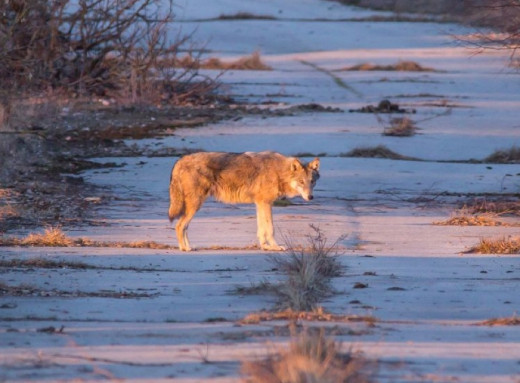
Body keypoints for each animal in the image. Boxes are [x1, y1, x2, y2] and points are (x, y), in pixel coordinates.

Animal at [169, 152, 318, 254]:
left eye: (312, 182)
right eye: (301, 182)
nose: (310, 197)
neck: (279, 172)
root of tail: (181, 159)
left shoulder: (261, 204)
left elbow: (262, 229)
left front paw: (265, 247)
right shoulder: (265, 203)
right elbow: (270, 229)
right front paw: (275, 247)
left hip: (193, 206)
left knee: (184, 226)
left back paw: (188, 246)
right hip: (195, 205)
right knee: (179, 225)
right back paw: (185, 248)